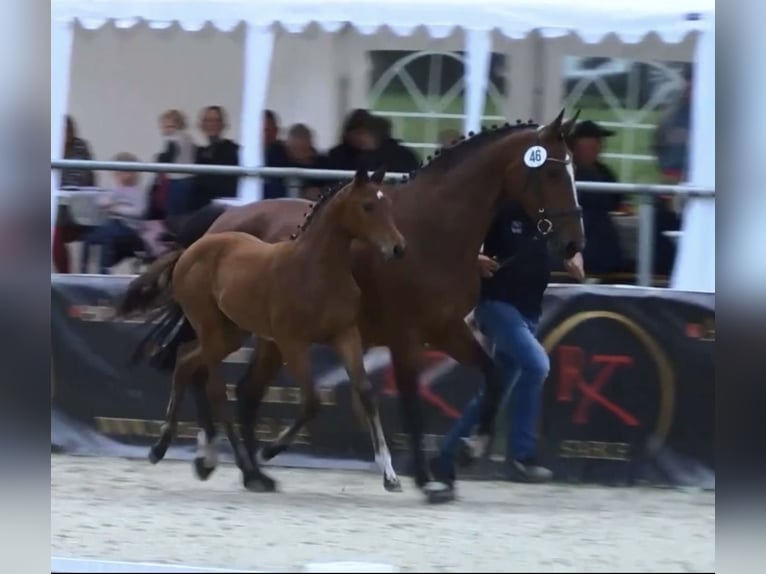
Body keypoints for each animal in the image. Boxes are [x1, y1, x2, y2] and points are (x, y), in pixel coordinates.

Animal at [125, 167, 407, 492]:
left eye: (388, 204)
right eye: (368, 206)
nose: (398, 247)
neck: (316, 269)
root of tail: (188, 251)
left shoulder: (345, 335)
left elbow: (366, 394)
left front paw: (390, 476)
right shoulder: (291, 342)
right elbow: (312, 402)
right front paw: (269, 450)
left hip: (231, 333)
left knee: (185, 362)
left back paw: (163, 449)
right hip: (210, 328)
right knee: (215, 391)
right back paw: (247, 470)